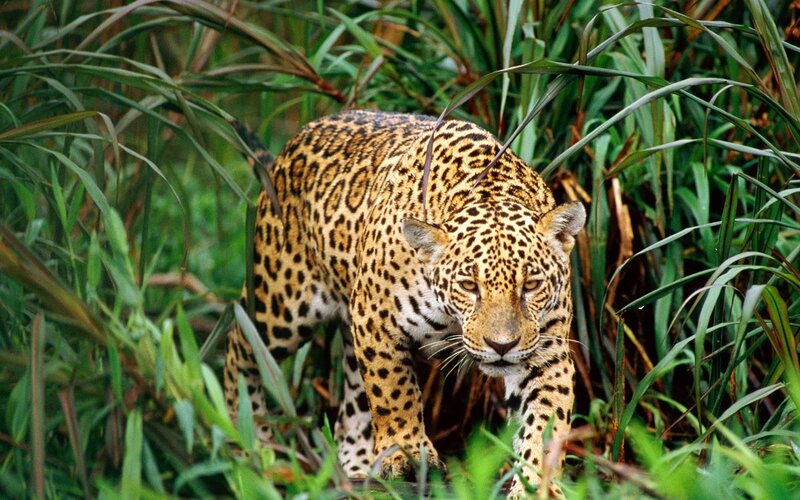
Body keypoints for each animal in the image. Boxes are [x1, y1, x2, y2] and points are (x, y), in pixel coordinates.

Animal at [223, 110, 585, 497]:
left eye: (530, 285)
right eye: (469, 286)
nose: (501, 346)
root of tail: (291, 146)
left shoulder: (546, 352)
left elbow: (546, 424)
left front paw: (538, 485)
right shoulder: (376, 321)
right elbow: (394, 393)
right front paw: (407, 453)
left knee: (352, 403)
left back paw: (355, 466)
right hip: (281, 304)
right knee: (238, 344)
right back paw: (249, 442)